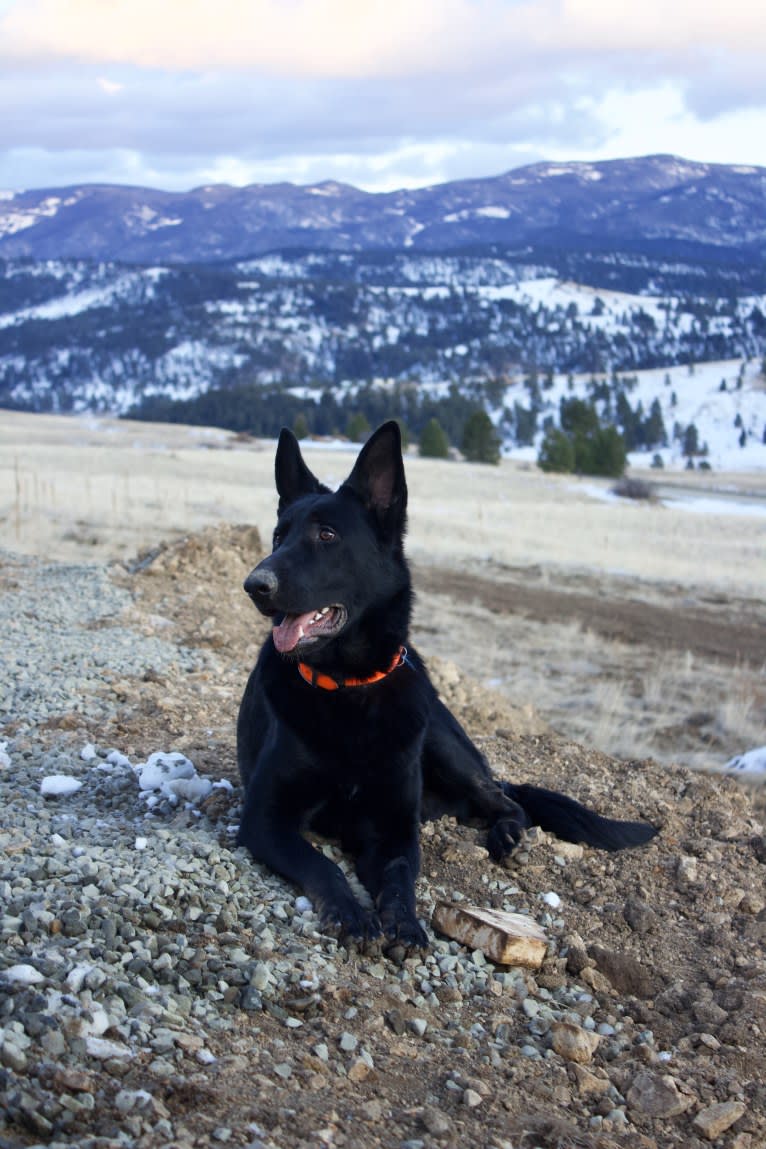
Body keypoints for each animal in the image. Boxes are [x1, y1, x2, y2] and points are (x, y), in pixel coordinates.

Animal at [236, 418, 656, 946]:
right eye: (278, 536)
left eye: (326, 534)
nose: (255, 585)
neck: (352, 690)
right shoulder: (264, 819)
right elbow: (322, 865)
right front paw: (350, 912)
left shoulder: (395, 827)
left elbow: (400, 875)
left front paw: (404, 922)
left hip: (442, 741)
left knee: (508, 801)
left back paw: (508, 835)